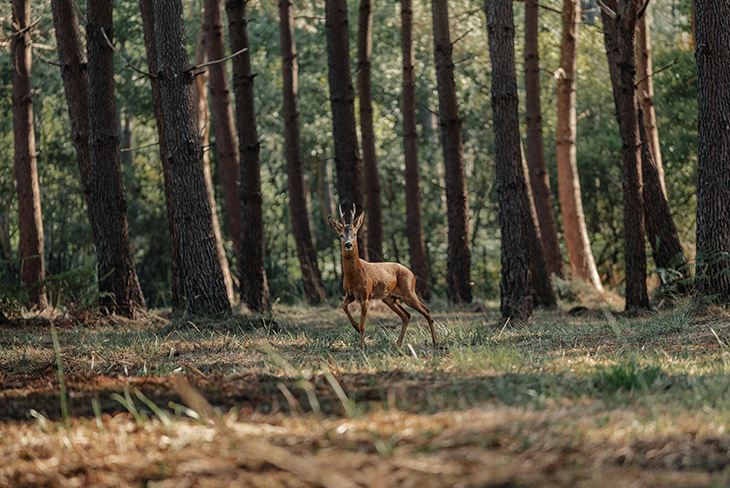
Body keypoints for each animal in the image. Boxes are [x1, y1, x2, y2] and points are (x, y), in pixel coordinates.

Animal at [328, 204, 436, 348]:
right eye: (341, 235)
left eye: (355, 234)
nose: (348, 244)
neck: (354, 274)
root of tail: (412, 275)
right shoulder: (350, 294)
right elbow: (343, 306)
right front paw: (355, 327)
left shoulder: (365, 295)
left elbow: (364, 326)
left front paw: (362, 347)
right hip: (390, 298)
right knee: (406, 315)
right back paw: (398, 343)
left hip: (409, 293)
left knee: (427, 311)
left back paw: (435, 342)